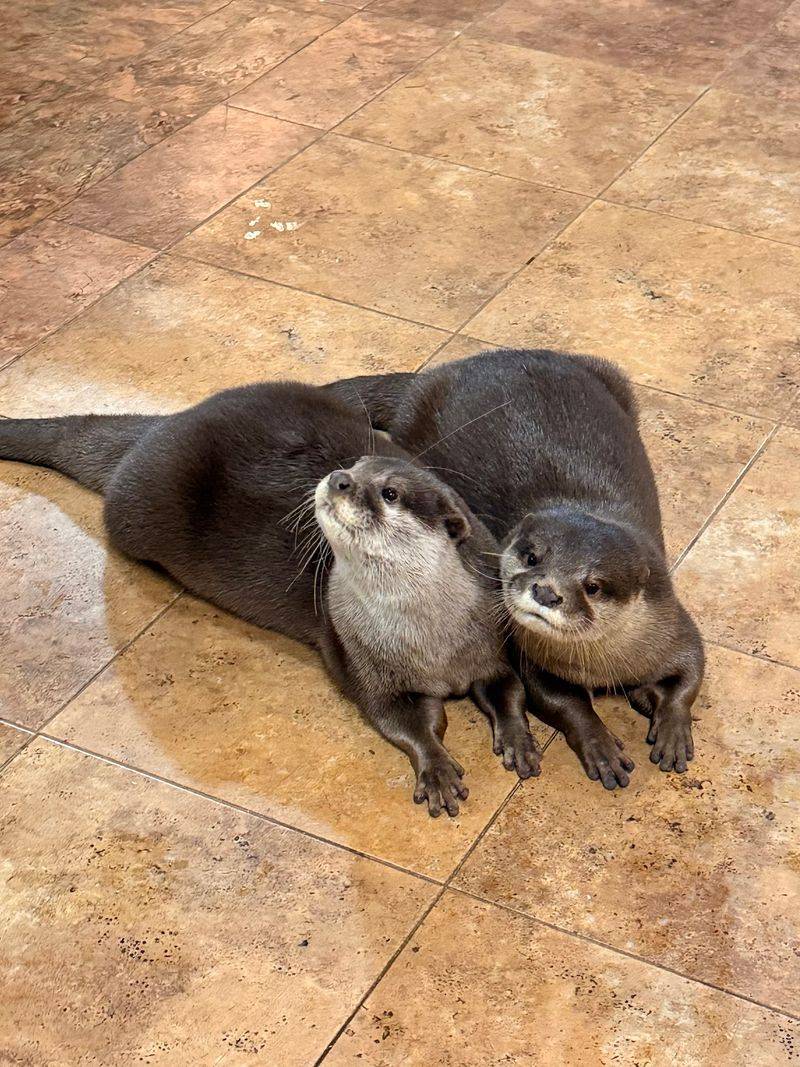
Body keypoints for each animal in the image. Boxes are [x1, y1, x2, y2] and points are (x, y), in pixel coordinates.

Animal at [0, 382, 538, 815]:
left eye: (389, 492)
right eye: (351, 467)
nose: (339, 479)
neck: (433, 639)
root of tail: (170, 424)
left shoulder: (491, 639)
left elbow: (509, 689)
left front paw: (518, 738)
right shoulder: (358, 656)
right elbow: (404, 720)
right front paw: (437, 769)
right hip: (136, 511)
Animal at [328, 349, 705, 790]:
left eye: (593, 585)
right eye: (532, 557)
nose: (546, 591)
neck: (604, 665)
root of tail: (450, 370)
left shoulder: (673, 624)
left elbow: (690, 676)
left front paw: (673, 731)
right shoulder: (530, 659)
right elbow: (563, 702)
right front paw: (601, 746)